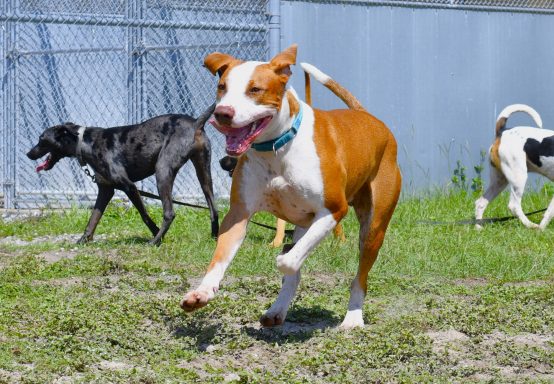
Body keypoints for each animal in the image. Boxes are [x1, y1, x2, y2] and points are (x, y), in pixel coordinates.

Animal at [27, 105, 218, 244]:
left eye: (41, 139)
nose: (28, 154)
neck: (84, 142)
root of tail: (195, 123)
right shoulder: (105, 190)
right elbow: (93, 218)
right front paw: (83, 240)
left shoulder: (129, 186)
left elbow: (144, 215)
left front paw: (158, 234)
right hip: (203, 173)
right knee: (214, 209)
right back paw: (215, 238)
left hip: (163, 171)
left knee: (169, 212)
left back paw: (155, 241)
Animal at [181, 44, 402, 328]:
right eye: (222, 87)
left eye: (255, 89)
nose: (223, 113)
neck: (276, 147)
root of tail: (366, 115)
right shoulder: (239, 214)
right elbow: (220, 258)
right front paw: (202, 292)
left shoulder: (333, 210)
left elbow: (289, 261)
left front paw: (284, 260)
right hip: (304, 222)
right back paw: (277, 310)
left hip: (373, 229)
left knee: (359, 276)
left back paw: (353, 318)